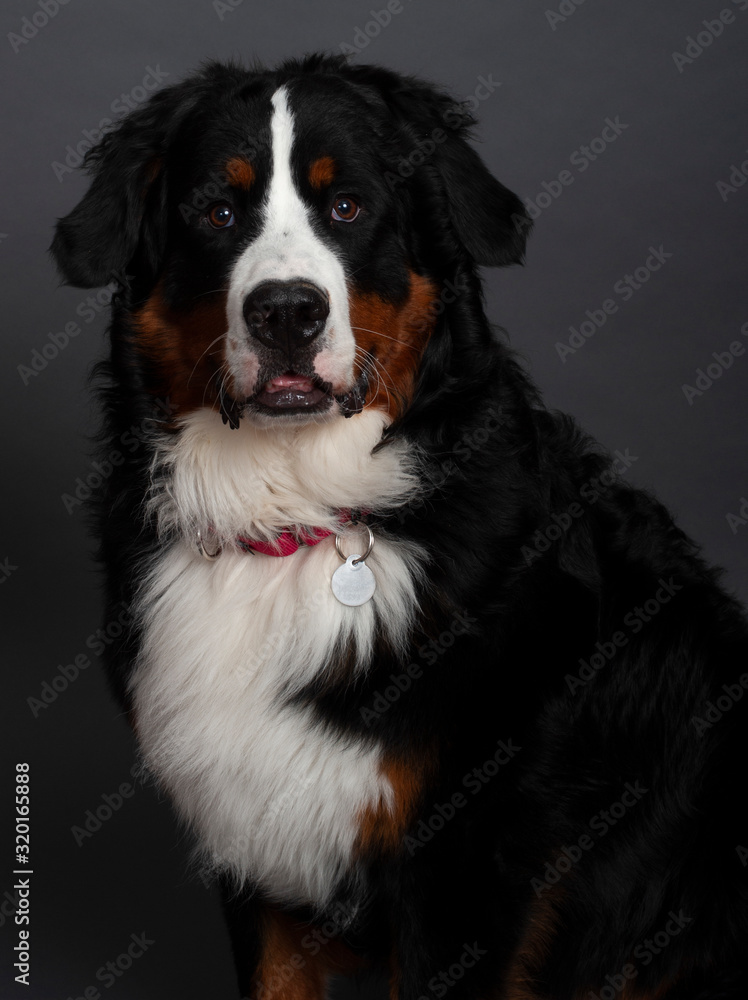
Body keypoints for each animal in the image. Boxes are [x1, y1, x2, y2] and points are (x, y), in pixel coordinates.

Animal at [49, 54, 744, 1000]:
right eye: (216, 212)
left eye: (347, 206)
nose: (286, 312)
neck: (299, 518)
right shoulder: (254, 852)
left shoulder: (462, 871)